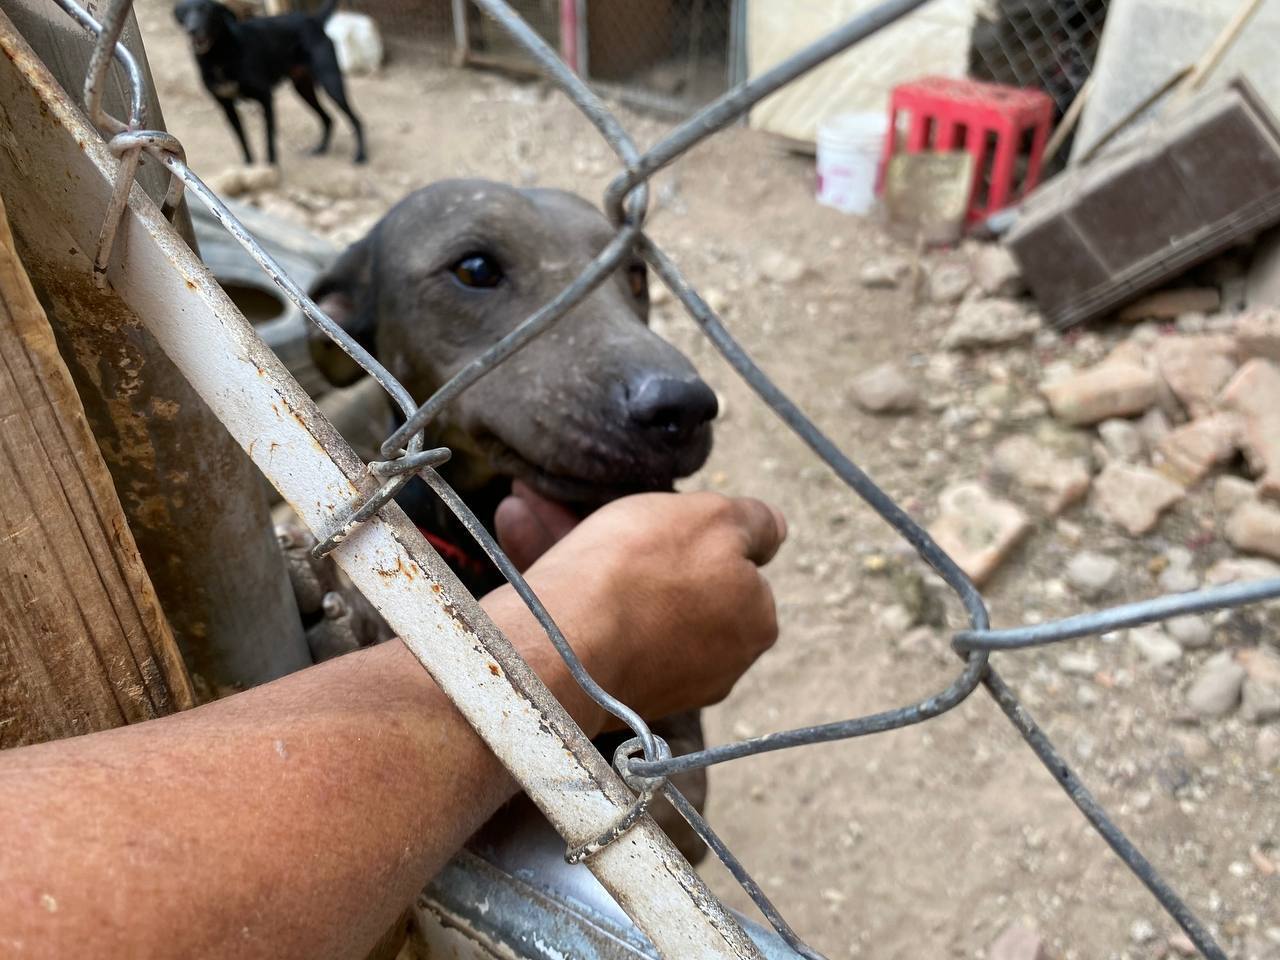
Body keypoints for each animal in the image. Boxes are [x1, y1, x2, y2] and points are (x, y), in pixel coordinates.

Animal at [172, 0, 368, 165]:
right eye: (184, 13)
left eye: (207, 10)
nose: (192, 29)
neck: (218, 57)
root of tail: (313, 20)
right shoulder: (226, 106)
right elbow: (242, 140)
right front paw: (250, 168)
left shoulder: (265, 98)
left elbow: (269, 140)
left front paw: (271, 169)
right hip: (302, 88)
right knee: (328, 118)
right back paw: (321, 148)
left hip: (331, 83)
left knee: (356, 120)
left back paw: (361, 155)